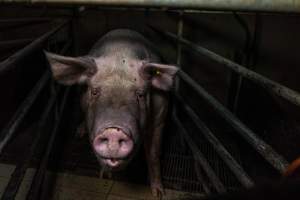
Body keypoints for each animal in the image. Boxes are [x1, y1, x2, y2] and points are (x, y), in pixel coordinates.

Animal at [44, 28, 178, 196]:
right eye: (94, 91)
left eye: (140, 94)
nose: (114, 130)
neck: (120, 55)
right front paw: (105, 176)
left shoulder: (160, 118)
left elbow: (153, 154)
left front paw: (158, 193)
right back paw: (78, 133)